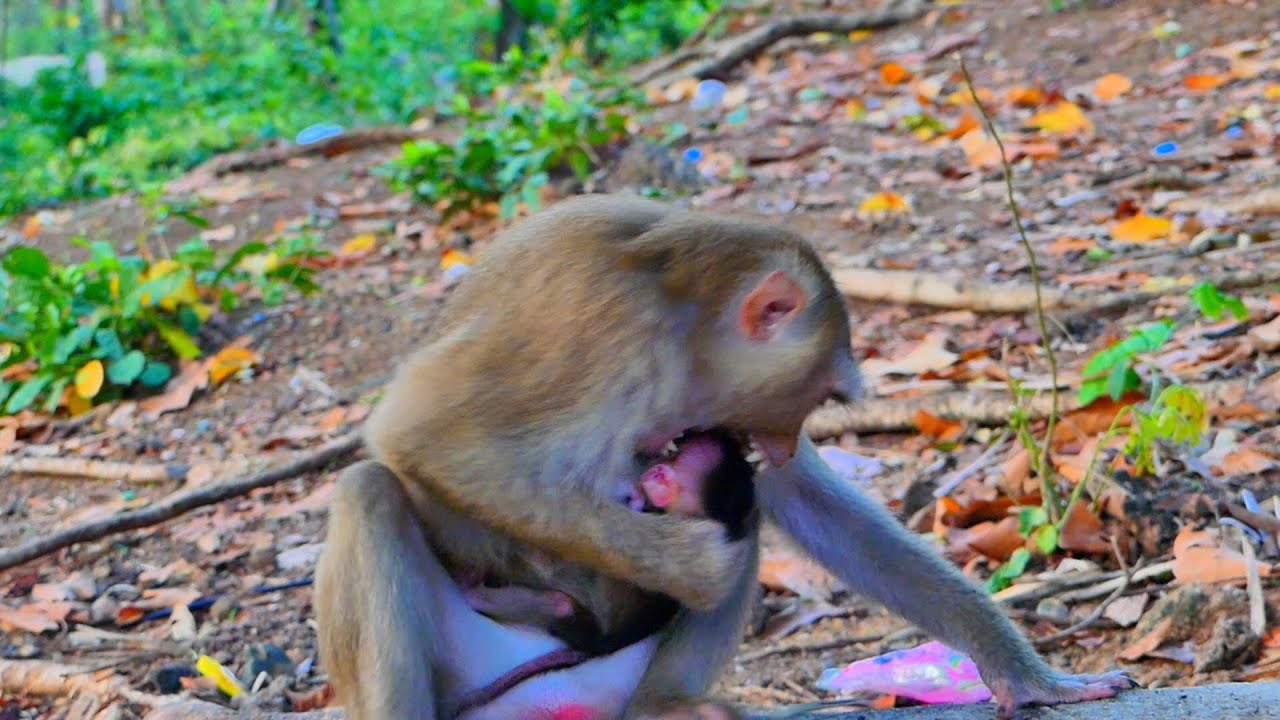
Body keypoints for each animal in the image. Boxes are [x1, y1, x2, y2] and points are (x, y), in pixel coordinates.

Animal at [314, 193, 1135, 720]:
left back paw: (663, 705)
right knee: (369, 491)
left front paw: (1024, 676)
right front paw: (693, 562)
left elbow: (798, 503)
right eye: (817, 393)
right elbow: (421, 435)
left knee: (747, 518)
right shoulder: (601, 333)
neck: (679, 314)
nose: (781, 442)